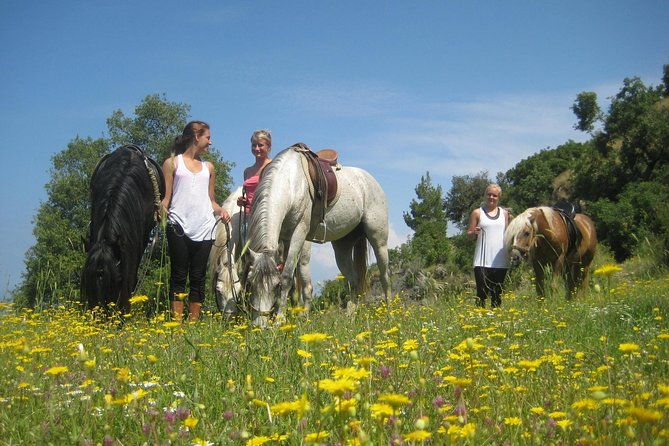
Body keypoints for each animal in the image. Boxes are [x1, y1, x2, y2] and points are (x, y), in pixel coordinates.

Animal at [246, 144, 391, 326]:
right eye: (250, 284)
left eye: (275, 285)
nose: (259, 325)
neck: (291, 183)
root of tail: (371, 181)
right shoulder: (284, 238)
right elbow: (292, 279)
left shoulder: (299, 232)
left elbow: (287, 276)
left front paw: (279, 320)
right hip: (342, 248)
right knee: (353, 280)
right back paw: (350, 317)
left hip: (379, 240)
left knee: (385, 275)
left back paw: (390, 312)